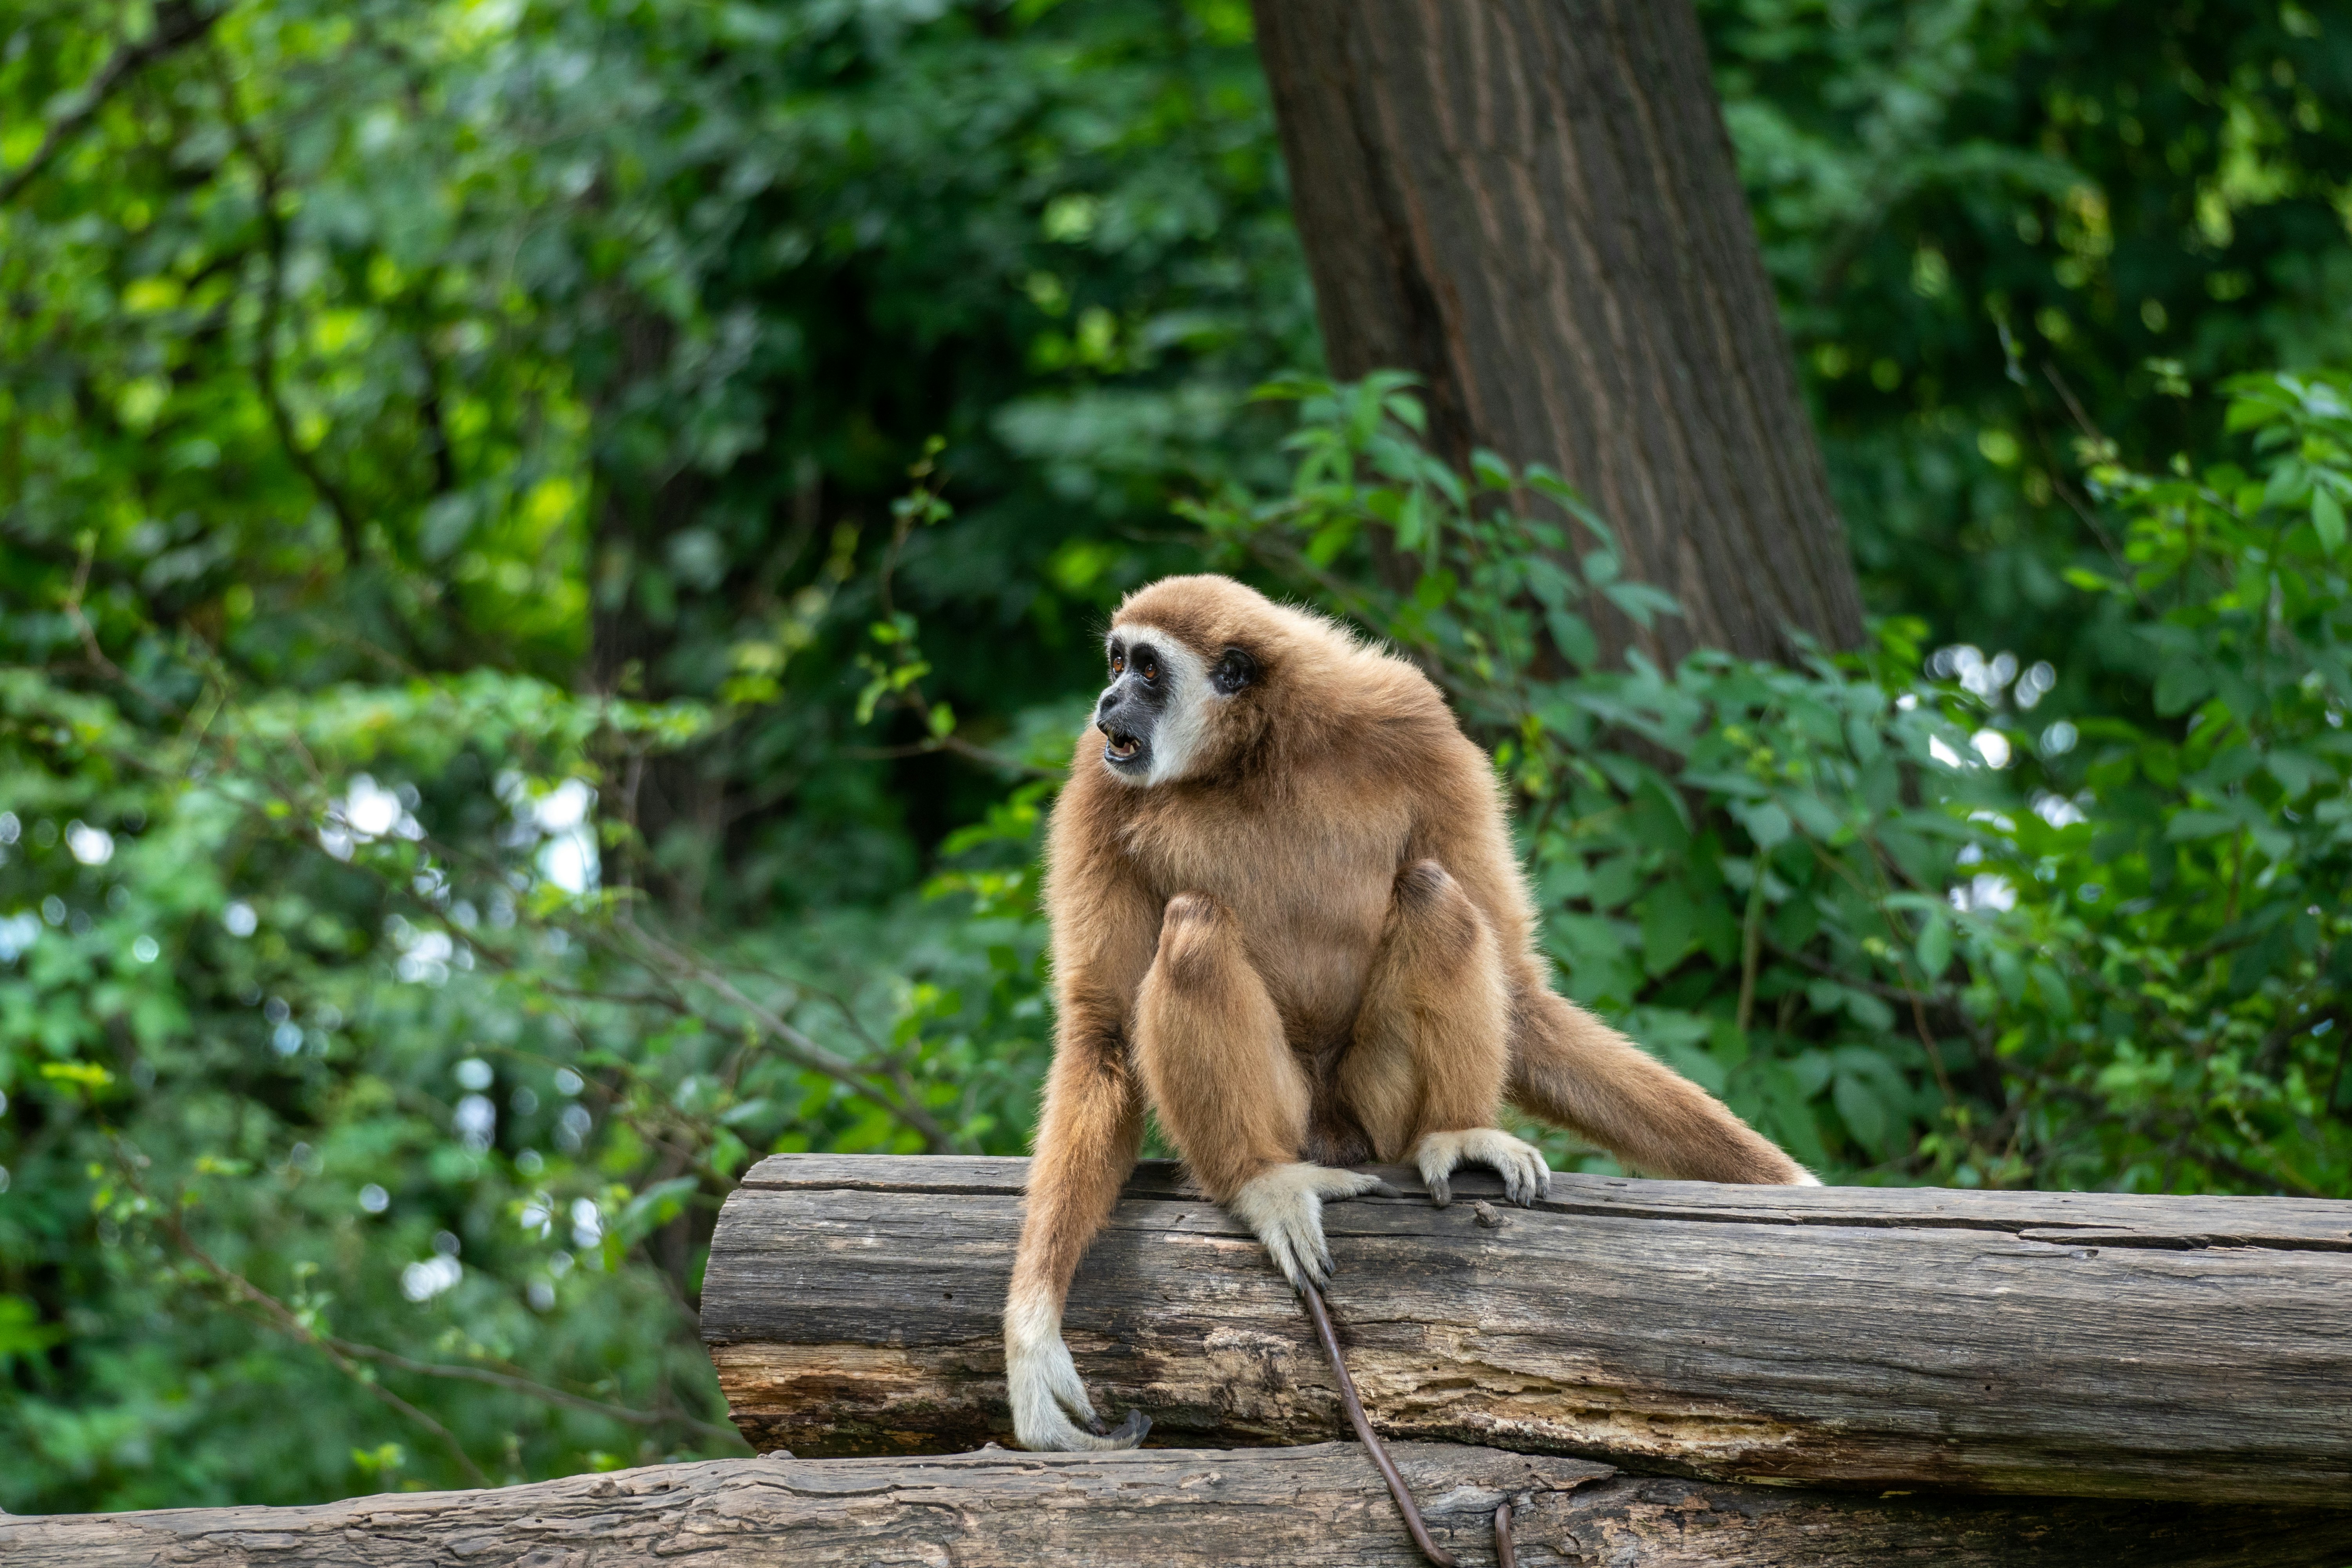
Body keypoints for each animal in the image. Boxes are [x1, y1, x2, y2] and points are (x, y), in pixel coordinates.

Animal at [1003, 573, 1817, 1453]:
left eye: (1147, 669)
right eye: (1118, 661)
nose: (1108, 696)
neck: (1255, 756)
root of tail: (1333, 1133)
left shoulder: (1416, 725)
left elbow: (1520, 990)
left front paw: (1791, 1184)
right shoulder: (1097, 781)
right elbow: (1103, 1030)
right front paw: (1034, 1335)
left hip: (1379, 1108)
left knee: (1435, 893)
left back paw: (1455, 1135)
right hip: (1294, 1116)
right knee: (1193, 930)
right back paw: (1262, 1181)